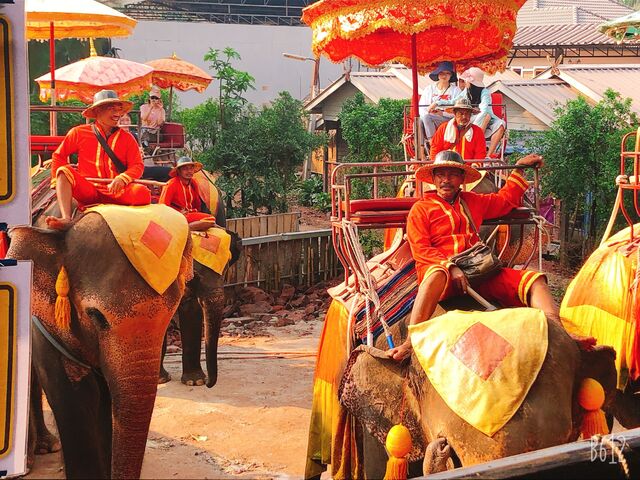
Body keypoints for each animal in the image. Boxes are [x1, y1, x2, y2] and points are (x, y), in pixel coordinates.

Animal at [7, 212, 192, 478]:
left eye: (171, 314)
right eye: (96, 316)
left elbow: (105, 398)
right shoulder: (42, 322)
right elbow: (70, 394)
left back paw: (46, 447)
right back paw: (31, 460)